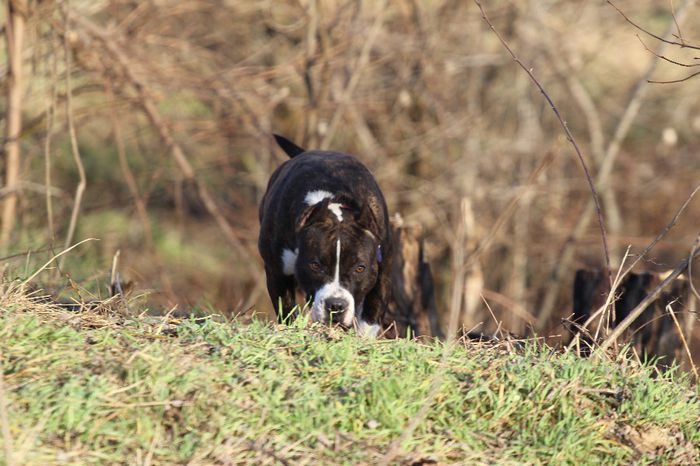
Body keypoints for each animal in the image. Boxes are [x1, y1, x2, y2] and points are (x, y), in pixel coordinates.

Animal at [258, 133, 394, 336]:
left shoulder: (382, 269)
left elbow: (371, 314)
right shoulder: (276, 271)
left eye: (360, 268)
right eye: (315, 265)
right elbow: (287, 308)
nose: (336, 305)